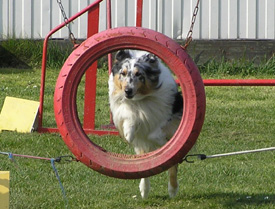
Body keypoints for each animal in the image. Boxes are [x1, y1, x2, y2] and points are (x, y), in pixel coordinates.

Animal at [109, 49, 184, 198]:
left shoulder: (170, 116)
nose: (127, 91)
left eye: (139, 74)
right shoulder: (124, 106)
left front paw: (157, 137)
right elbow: (129, 115)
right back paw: (144, 190)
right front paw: (129, 133)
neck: (140, 98)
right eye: (123, 73)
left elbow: (157, 131)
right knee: (144, 168)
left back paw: (172, 190)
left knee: (172, 166)